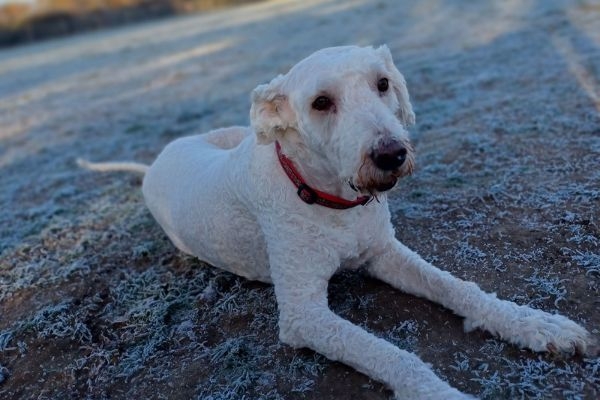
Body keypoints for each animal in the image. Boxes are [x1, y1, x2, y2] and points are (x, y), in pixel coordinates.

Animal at [79, 45, 596, 398]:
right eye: (321, 103)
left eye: (383, 83)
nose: (391, 154)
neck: (331, 201)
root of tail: (157, 161)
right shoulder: (304, 316)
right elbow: (392, 354)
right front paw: (440, 393)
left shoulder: (384, 254)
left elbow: (459, 288)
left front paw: (534, 323)